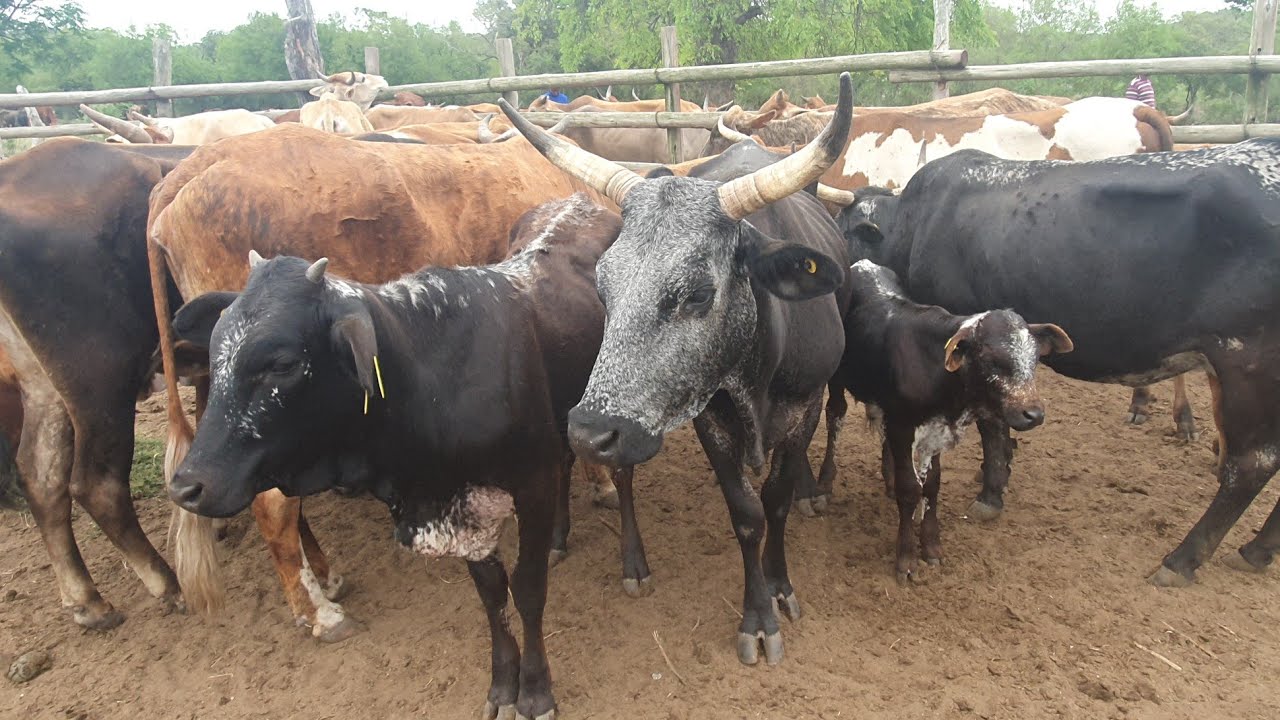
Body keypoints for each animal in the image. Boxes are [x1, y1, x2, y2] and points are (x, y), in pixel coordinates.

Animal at [0, 138, 197, 629]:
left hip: (45, 388)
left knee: (41, 475)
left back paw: (86, 599)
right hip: (101, 381)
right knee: (97, 484)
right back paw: (166, 583)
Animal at [166, 192, 628, 720]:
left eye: (283, 363)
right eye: (215, 350)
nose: (187, 486)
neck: (434, 377)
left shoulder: (530, 482)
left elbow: (527, 591)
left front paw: (534, 692)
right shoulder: (464, 506)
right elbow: (492, 595)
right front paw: (501, 686)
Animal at [502, 72, 856, 666]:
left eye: (697, 294)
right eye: (602, 285)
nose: (590, 432)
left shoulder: (804, 407)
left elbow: (777, 501)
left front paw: (780, 586)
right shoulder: (710, 421)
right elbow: (747, 514)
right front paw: (757, 616)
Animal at [820, 261, 1071, 583]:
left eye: (1035, 359)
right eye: (991, 360)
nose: (1034, 414)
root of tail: (862, 264)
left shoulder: (934, 430)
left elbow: (931, 486)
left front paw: (931, 545)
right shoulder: (903, 426)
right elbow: (910, 489)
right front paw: (906, 558)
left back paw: (887, 478)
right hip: (837, 379)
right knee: (835, 416)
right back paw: (824, 485)